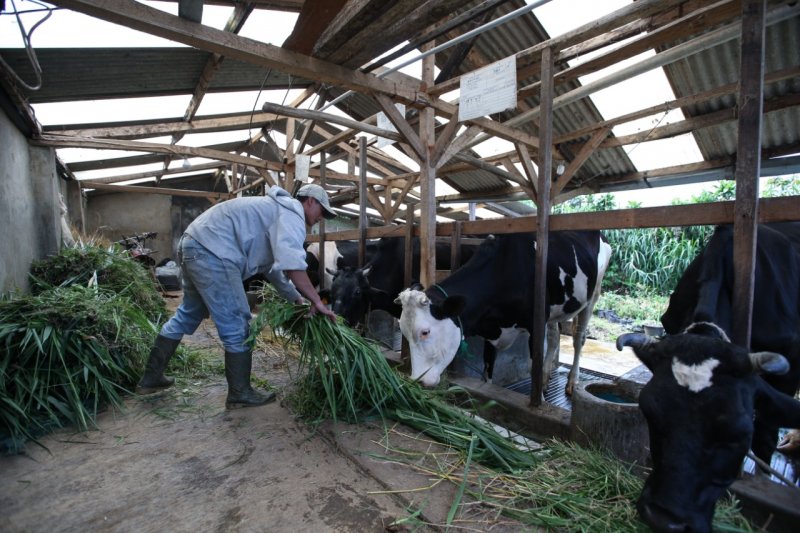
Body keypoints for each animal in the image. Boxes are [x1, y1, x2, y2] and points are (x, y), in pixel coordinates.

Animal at [396, 231, 612, 396]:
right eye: (404, 332)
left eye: (425, 332)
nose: (417, 380)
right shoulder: (490, 329)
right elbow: (488, 368)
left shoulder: (535, 323)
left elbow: (533, 366)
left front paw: (539, 398)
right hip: (555, 308)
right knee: (554, 337)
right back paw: (546, 378)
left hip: (593, 295)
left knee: (578, 338)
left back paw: (572, 381)